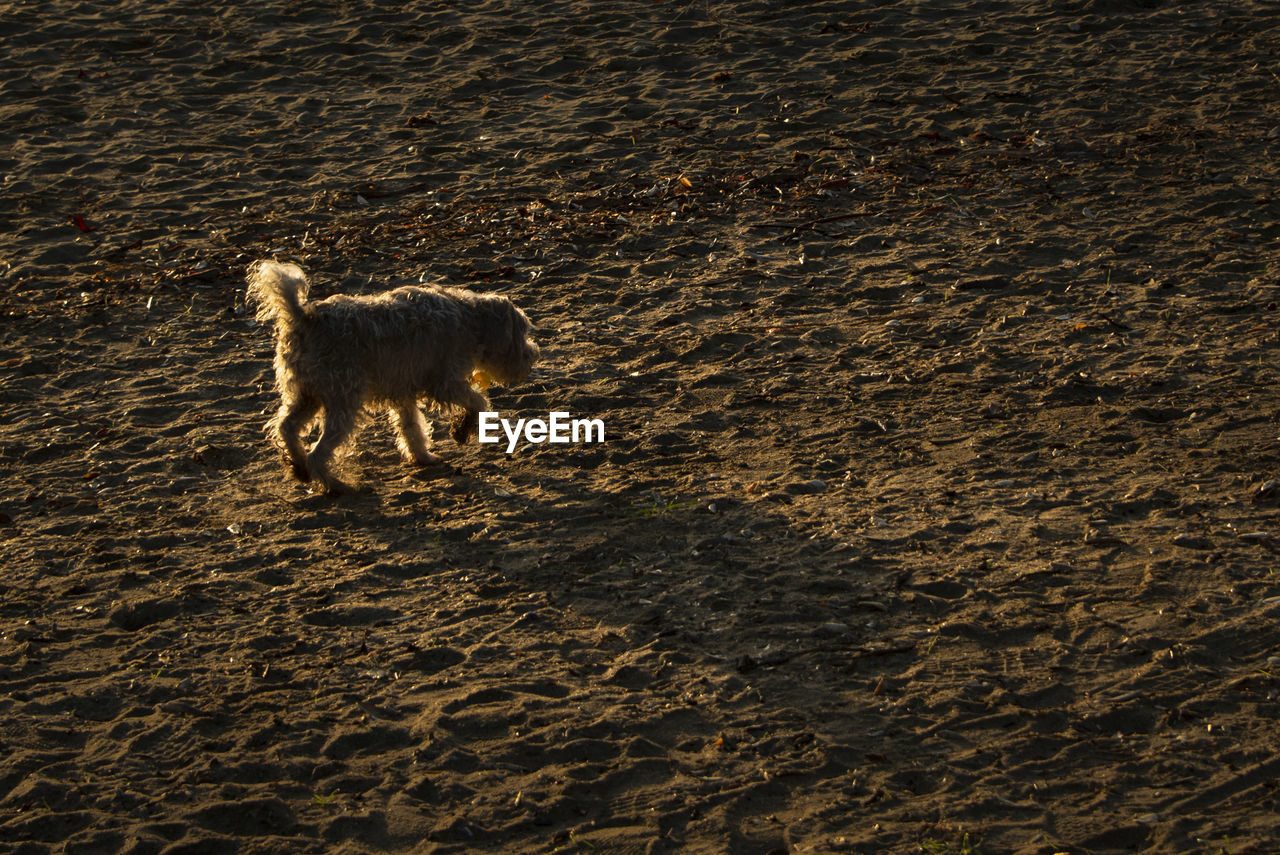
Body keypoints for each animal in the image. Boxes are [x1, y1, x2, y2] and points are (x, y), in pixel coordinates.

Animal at [245, 257, 540, 491]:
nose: (534, 355)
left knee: (286, 427)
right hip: (343, 401)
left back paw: (298, 466)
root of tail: (304, 316)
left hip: (306, 395)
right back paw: (335, 485)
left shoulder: (403, 393)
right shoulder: (445, 383)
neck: (470, 319)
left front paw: (423, 457)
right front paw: (462, 428)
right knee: (319, 452)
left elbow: (412, 429)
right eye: (523, 331)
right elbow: (477, 402)